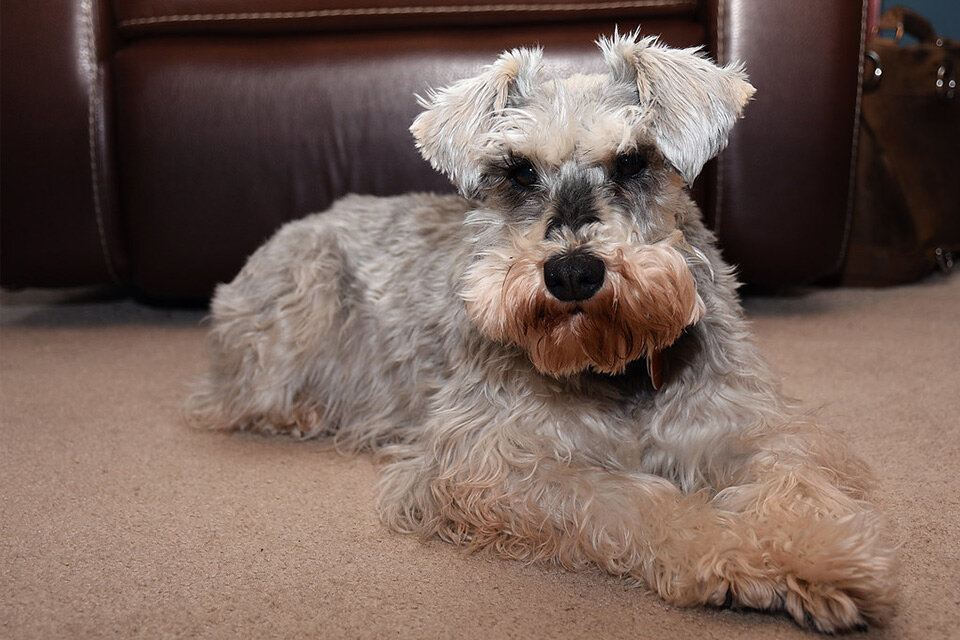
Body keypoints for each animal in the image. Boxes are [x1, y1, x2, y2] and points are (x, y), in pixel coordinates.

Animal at [189, 31, 900, 636]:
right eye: (519, 171)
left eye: (633, 161)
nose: (573, 273)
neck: (616, 367)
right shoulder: (492, 463)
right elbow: (634, 500)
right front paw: (725, 555)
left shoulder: (748, 425)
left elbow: (794, 481)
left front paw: (821, 563)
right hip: (299, 307)